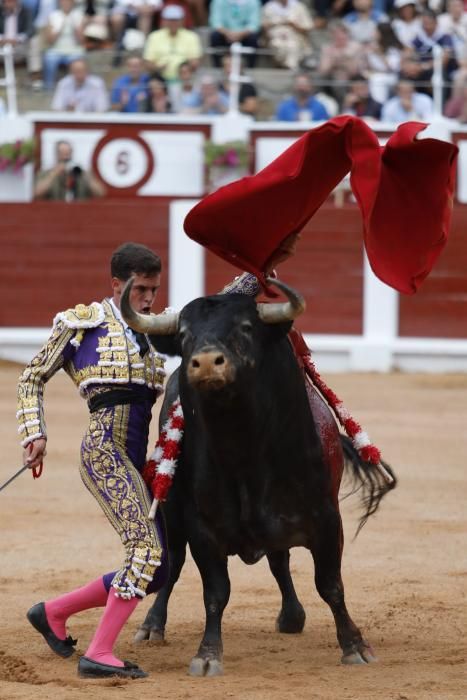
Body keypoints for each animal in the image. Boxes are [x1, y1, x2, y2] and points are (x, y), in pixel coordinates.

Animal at [122, 288, 396, 676]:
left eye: (246, 327)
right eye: (185, 334)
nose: (206, 363)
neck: (243, 448)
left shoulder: (328, 521)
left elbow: (330, 585)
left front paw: (355, 647)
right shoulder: (202, 529)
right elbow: (215, 592)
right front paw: (207, 655)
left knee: (279, 561)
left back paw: (292, 617)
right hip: (172, 512)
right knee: (174, 562)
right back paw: (151, 626)